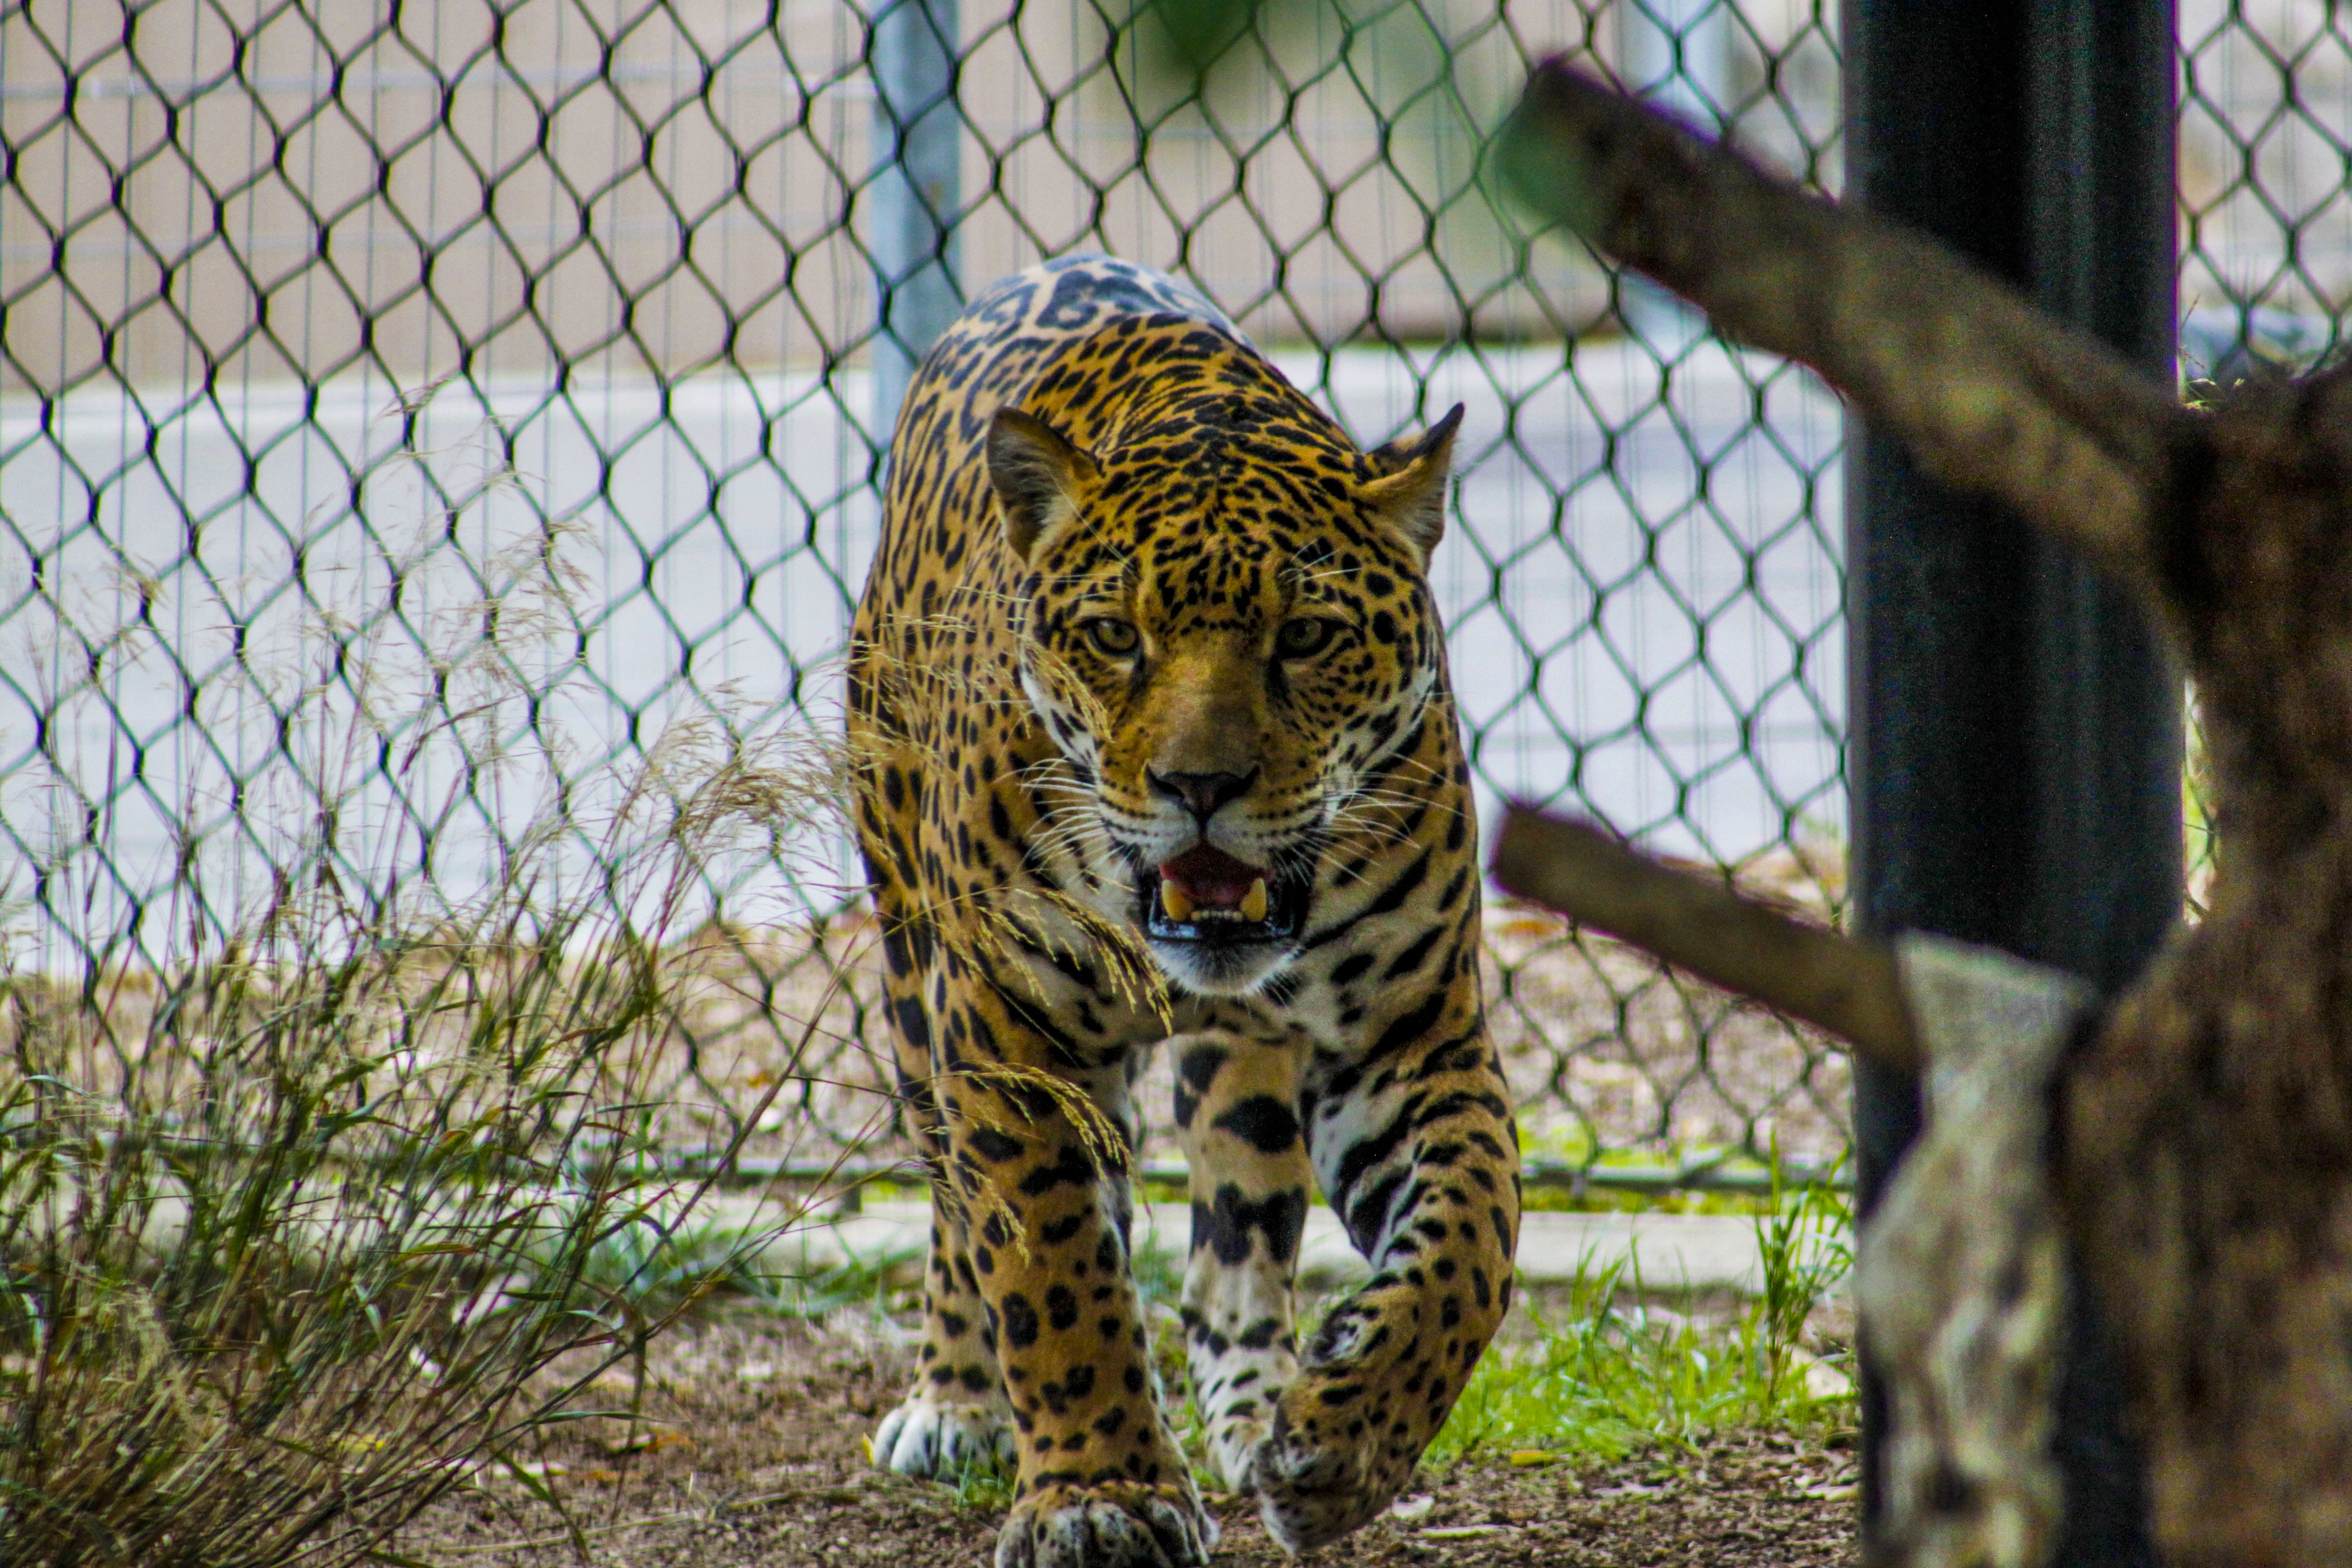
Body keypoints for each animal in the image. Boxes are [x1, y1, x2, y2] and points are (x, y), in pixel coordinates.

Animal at [846, 255, 1521, 1568]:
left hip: (1243, 1066)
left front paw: (1344, 1437)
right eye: (1116, 636)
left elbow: (1472, 1234)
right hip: (911, 965)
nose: (1198, 786)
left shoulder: (1409, 1034)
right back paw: (958, 1401)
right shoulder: (1008, 1033)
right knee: (957, 1206)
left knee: (1234, 1242)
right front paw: (1096, 1493)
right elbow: (1050, 1270)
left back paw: (1255, 1410)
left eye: (1305, 636)